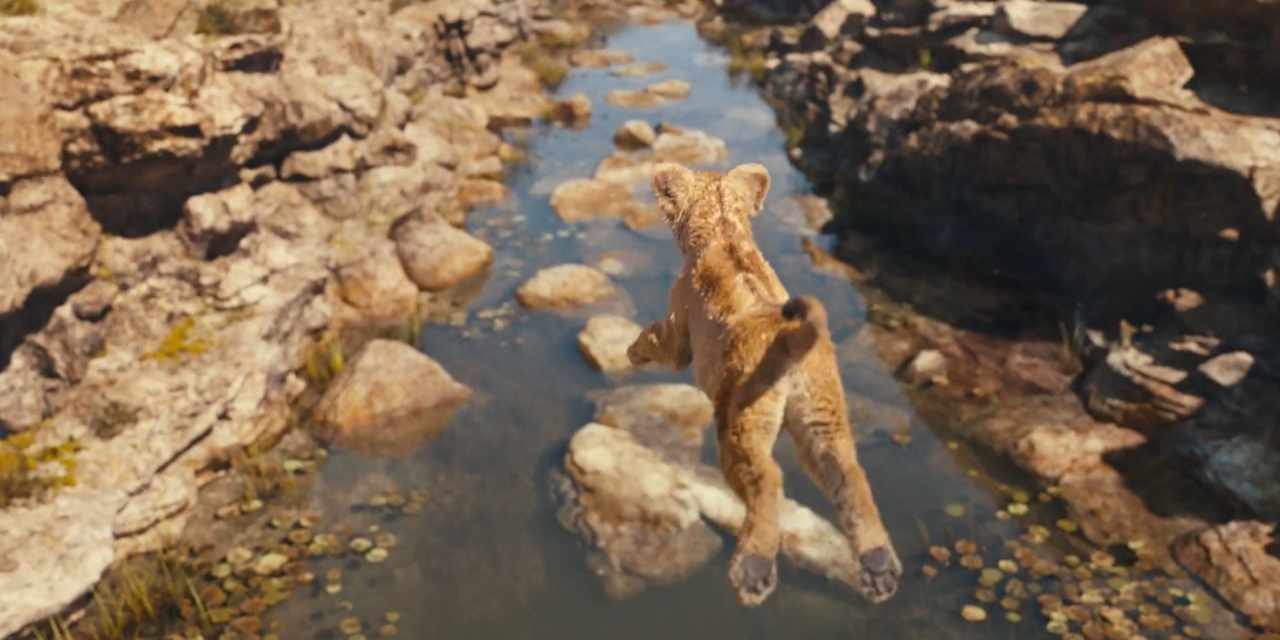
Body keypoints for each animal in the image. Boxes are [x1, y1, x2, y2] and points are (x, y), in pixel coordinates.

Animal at [626, 162, 902, 607]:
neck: (723, 226)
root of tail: (791, 335)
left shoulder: (678, 335)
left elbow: (653, 338)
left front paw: (632, 352)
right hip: (821, 415)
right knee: (849, 474)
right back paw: (879, 566)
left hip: (740, 419)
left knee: (767, 481)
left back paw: (753, 569)